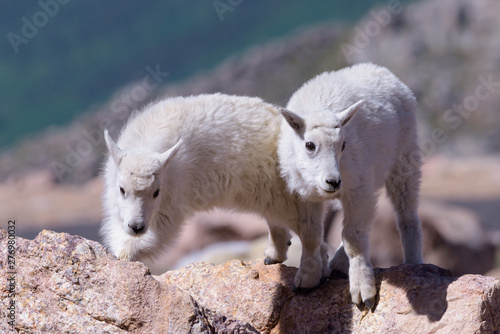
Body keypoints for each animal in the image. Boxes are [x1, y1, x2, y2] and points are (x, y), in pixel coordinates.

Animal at [100, 93, 330, 290]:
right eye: (122, 189)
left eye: (156, 192)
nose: (136, 227)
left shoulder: (170, 202)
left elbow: (157, 233)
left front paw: (123, 257)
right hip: (267, 193)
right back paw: (276, 256)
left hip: (290, 192)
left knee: (309, 230)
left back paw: (309, 277)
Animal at [280, 62, 424, 308]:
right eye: (309, 145)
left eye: (343, 145)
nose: (333, 182)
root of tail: (383, 71)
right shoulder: (304, 196)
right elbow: (310, 234)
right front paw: (307, 278)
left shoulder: (358, 188)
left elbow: (354, 238)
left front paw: (363, 291)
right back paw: (336, 264)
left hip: (404, 160)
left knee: (406, 213)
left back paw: (414, 262)